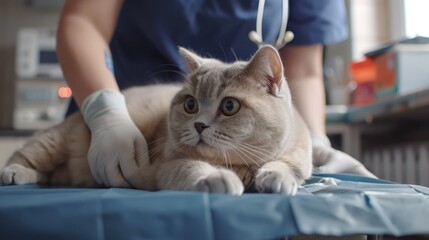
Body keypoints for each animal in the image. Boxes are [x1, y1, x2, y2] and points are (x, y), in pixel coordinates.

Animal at [0, 45, 310, 195]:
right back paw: (15, 172)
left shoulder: (297, 155)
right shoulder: (169, 165)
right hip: (54, 142)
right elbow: (193, 167)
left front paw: (277, 176)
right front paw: (216, 177)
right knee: (26, 156)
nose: (199, 125)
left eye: (229, 106)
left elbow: (286, 166)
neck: (241, 165)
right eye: (190, 104)